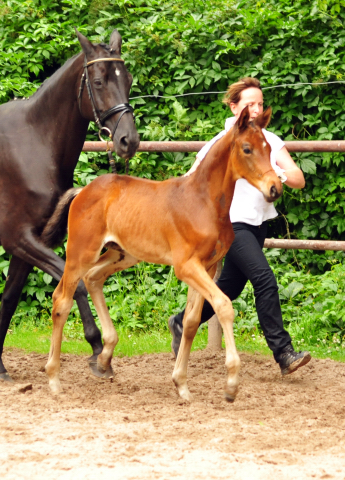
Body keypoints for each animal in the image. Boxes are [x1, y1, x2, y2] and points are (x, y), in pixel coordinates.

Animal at [0, 30, 140, 382]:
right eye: (99, 82)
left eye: (128, 79)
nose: (128, 141)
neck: (33, 142)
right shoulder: (18, 238)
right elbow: (74, 286)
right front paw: (97, 350)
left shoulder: (31, 242)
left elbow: (9, 299)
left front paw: (0, 368)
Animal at [44, 107, 282, 400]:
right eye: (247, 149)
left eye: (268, 147)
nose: (274, 188)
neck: (204, 202)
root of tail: (82, 191)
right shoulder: (186, 266)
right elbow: (224, 306)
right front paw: (231, 384)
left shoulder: (208, 266)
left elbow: (191, 321)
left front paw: (181, 384)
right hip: (80, 252)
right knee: (61, 300)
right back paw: (54, 379)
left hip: (123, 254)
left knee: (93, 278)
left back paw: (104, 359)